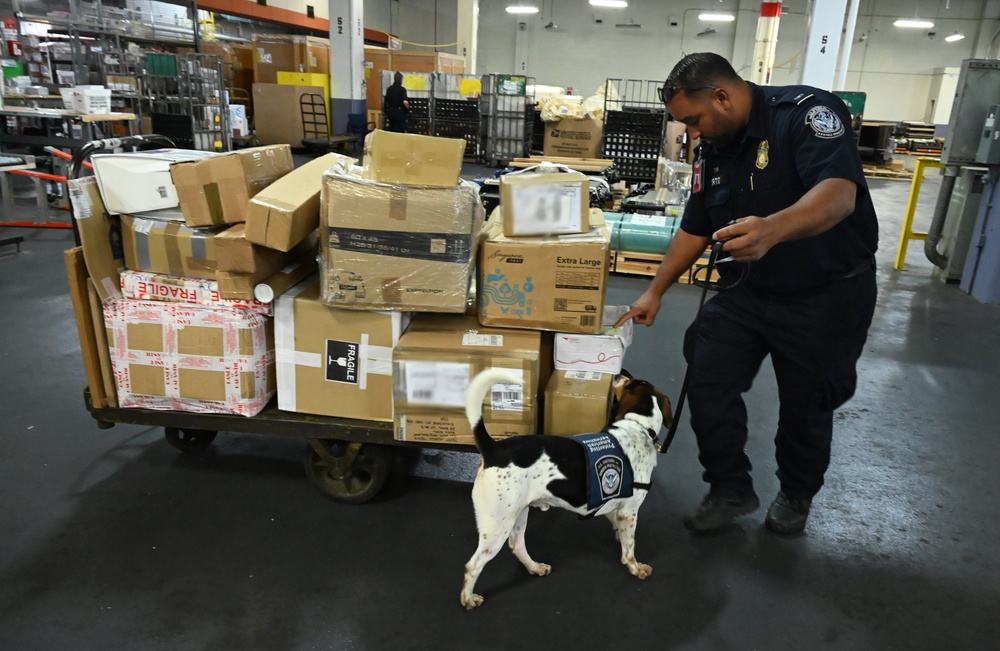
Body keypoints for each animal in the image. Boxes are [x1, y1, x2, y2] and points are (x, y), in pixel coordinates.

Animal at [460, 372, 672, 612]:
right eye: (630, 380)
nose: (619, 374)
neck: (639, 427)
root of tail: (493, 449)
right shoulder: (629, 512)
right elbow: (629, 548)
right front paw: (635, 567)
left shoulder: (614, 507)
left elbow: (618, 527)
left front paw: (618, 535)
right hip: (497, 527)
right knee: (473, 565)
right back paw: (468, 599)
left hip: (519, 514)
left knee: (517, 545)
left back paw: (535, 567)